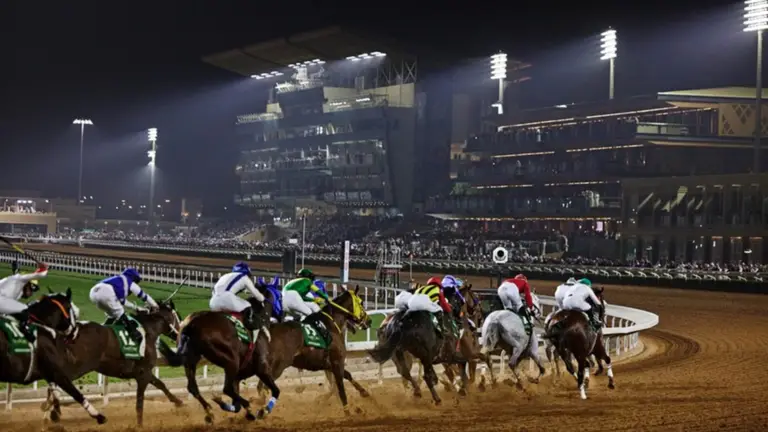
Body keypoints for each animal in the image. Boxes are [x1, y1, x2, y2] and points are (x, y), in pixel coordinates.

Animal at [0, 289, 108, 424]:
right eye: (74, 313)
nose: (75, 333)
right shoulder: (56, 371)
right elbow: (75, 393)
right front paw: (98, 415)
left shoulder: (48, 372)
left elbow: (55, 391)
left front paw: (53, 412)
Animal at [43, 300, 184, 425]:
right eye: (178, 316)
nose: (179, 334)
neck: (149, 330)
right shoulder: (143, 374)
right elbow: (140, 403)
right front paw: (139, 425)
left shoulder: (144, 372)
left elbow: (160, 384)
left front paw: (179, 402)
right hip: (77, 367)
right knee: (59, 383)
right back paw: (55, 412)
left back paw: (50, 412)